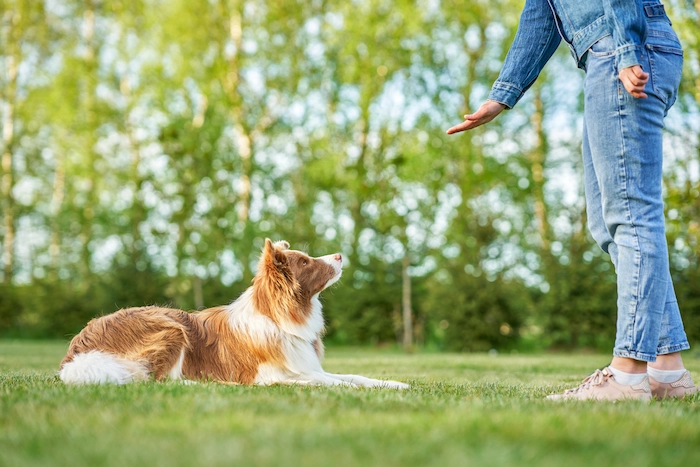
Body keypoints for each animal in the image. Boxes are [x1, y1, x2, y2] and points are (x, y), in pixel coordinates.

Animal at [61, 239, 410, 390]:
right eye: (305, 262)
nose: (339, 255)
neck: (280, 320)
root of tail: (77, 350)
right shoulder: (274, 374)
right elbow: (329, 382)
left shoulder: (304, 365)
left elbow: (352, 377)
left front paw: (393, 384)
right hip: (171, 327)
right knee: (155, 381)